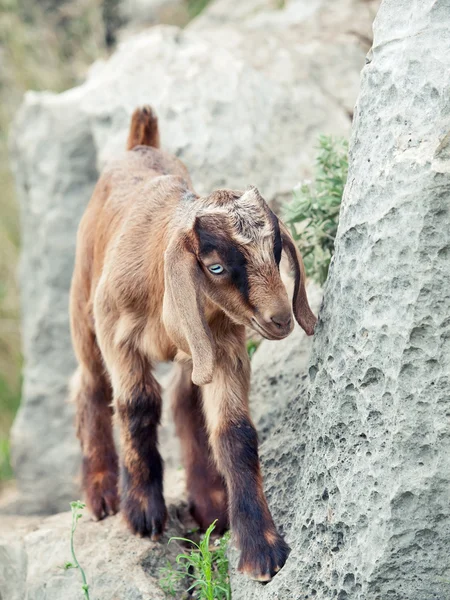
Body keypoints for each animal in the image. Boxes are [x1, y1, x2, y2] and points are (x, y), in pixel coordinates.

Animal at [69, 105, 316, 580]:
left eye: (276, 251)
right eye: (215, 266)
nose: (280, 319)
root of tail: (139, 143)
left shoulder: (221, 346)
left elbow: (234, 431)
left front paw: (261, 550)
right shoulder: (116, 334)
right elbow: (137, 404)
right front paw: (143, 513)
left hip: (193, 351)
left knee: (184, 398)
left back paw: (209, 503)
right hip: (83, 304)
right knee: (89, 384)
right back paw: (101, 492)